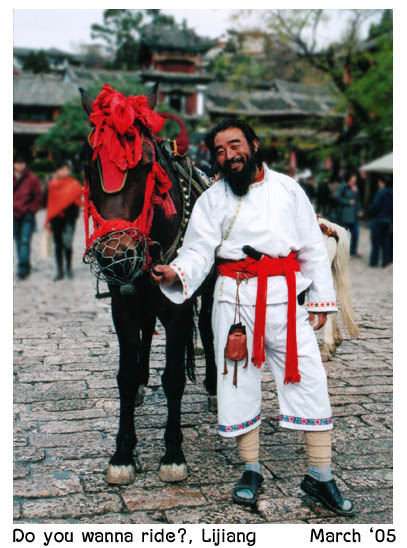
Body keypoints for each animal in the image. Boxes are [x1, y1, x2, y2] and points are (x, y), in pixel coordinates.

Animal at [77, 83, 217, 486]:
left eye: (143, 165)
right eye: (89, 165)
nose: (116, 254)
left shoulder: (178, 308)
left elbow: (173, 378)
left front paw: (172, 454)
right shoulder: (122, 304)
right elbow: (123, 376)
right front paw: (123, 453)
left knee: (209, 327)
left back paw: (214, 389)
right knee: (145, 332)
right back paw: (142, 381)